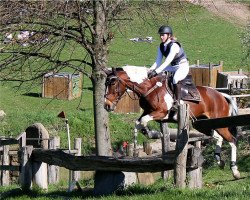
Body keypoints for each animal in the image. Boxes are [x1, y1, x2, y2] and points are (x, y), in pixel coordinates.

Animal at [103, 66, 240, 180]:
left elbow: (143, 121)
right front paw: (138, 146)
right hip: (203, 124)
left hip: (218, 122)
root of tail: (221, 95)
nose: (106, 105)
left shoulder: (161, 113)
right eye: (105, 83)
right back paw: (219, 160)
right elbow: (138, 123)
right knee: (218, 137)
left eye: (113, 83)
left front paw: (152, 133)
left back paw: (235, 170)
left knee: (232, 140)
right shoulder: (148, 112)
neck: (149, 88)